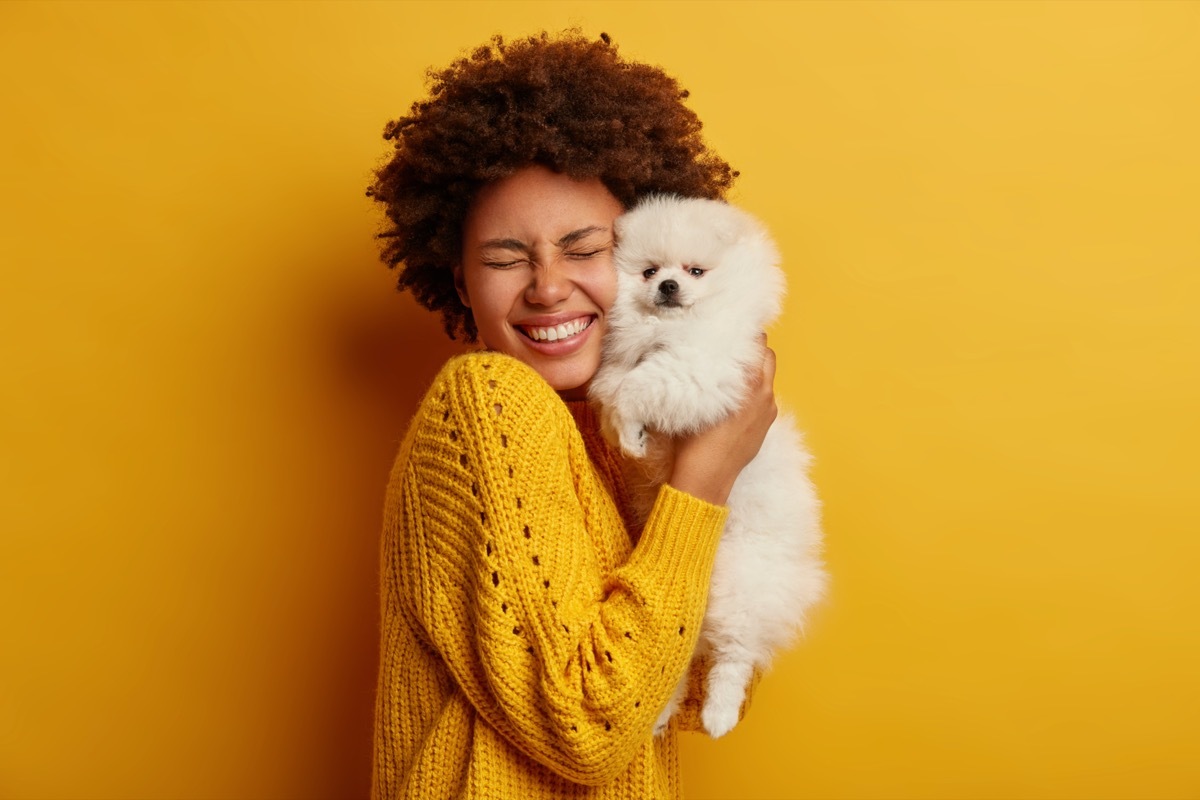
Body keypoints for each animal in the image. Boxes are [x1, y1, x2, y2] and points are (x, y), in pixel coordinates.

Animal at [588, 194, 825, 738]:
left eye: (696, 271)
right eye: (650, 271)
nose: (668, 286)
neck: (667, 330)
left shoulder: (702, 369)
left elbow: (637, 387)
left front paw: (628, 425)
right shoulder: (626, 368)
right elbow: (614, 391)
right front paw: (628, 439)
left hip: (742, 581)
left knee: (733, 655)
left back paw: (718, 713)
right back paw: (659, 715)